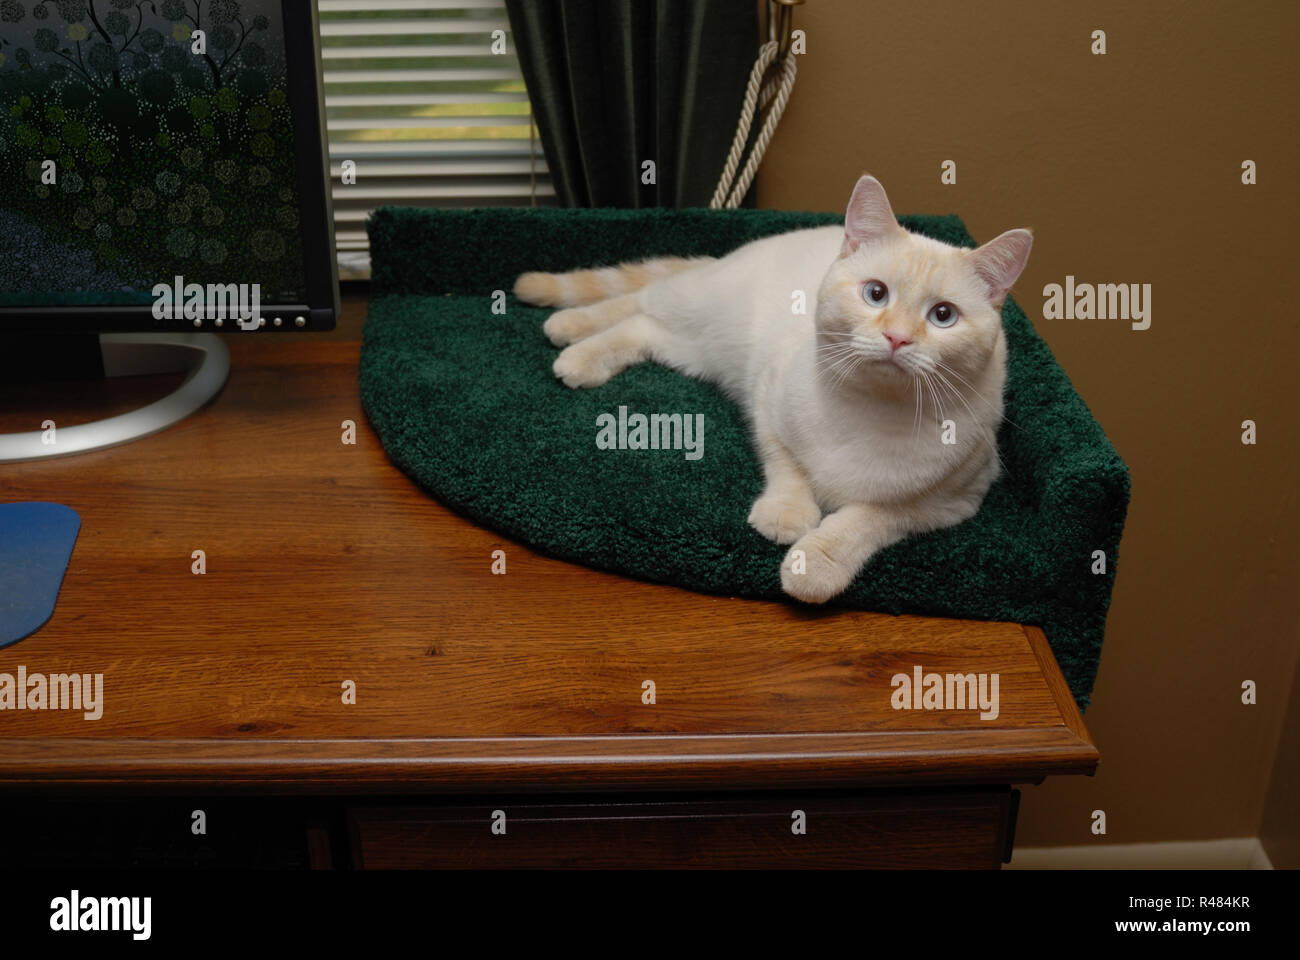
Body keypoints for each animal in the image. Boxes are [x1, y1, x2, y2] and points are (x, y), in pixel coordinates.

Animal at [512, 174, 1029, 598]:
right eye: (875, 293)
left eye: (943, 316)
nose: (898, 338)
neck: (872, 410)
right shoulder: (767, 401)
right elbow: (787, 465)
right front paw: (787, 514)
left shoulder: (953, 500)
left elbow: (871, 517)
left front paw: (815, 564)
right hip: (700, 310)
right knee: (640, 300)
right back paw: (570, 334)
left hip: (695, 349)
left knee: (643, 327)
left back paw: (581, 350)